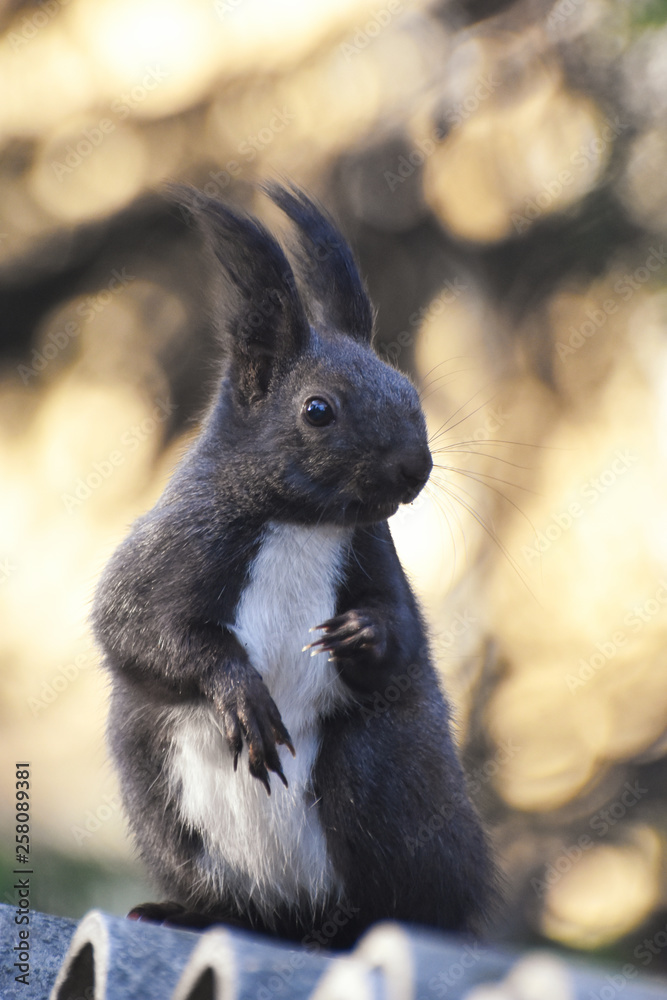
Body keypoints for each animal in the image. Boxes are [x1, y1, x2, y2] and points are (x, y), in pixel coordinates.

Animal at [92, 184, 496, 947]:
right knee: (233, 900)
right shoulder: (173, 550)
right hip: (160, 798)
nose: (415, 468)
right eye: (317, 409)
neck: (303, 524)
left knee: (395, 900)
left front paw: (361, 634)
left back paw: (346, 931)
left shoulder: (375, 552)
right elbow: (139, 631)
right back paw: (191, 911)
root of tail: (287, 912)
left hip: (378, 776)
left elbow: (403, 636)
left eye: (409, 391)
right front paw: (240, 692)